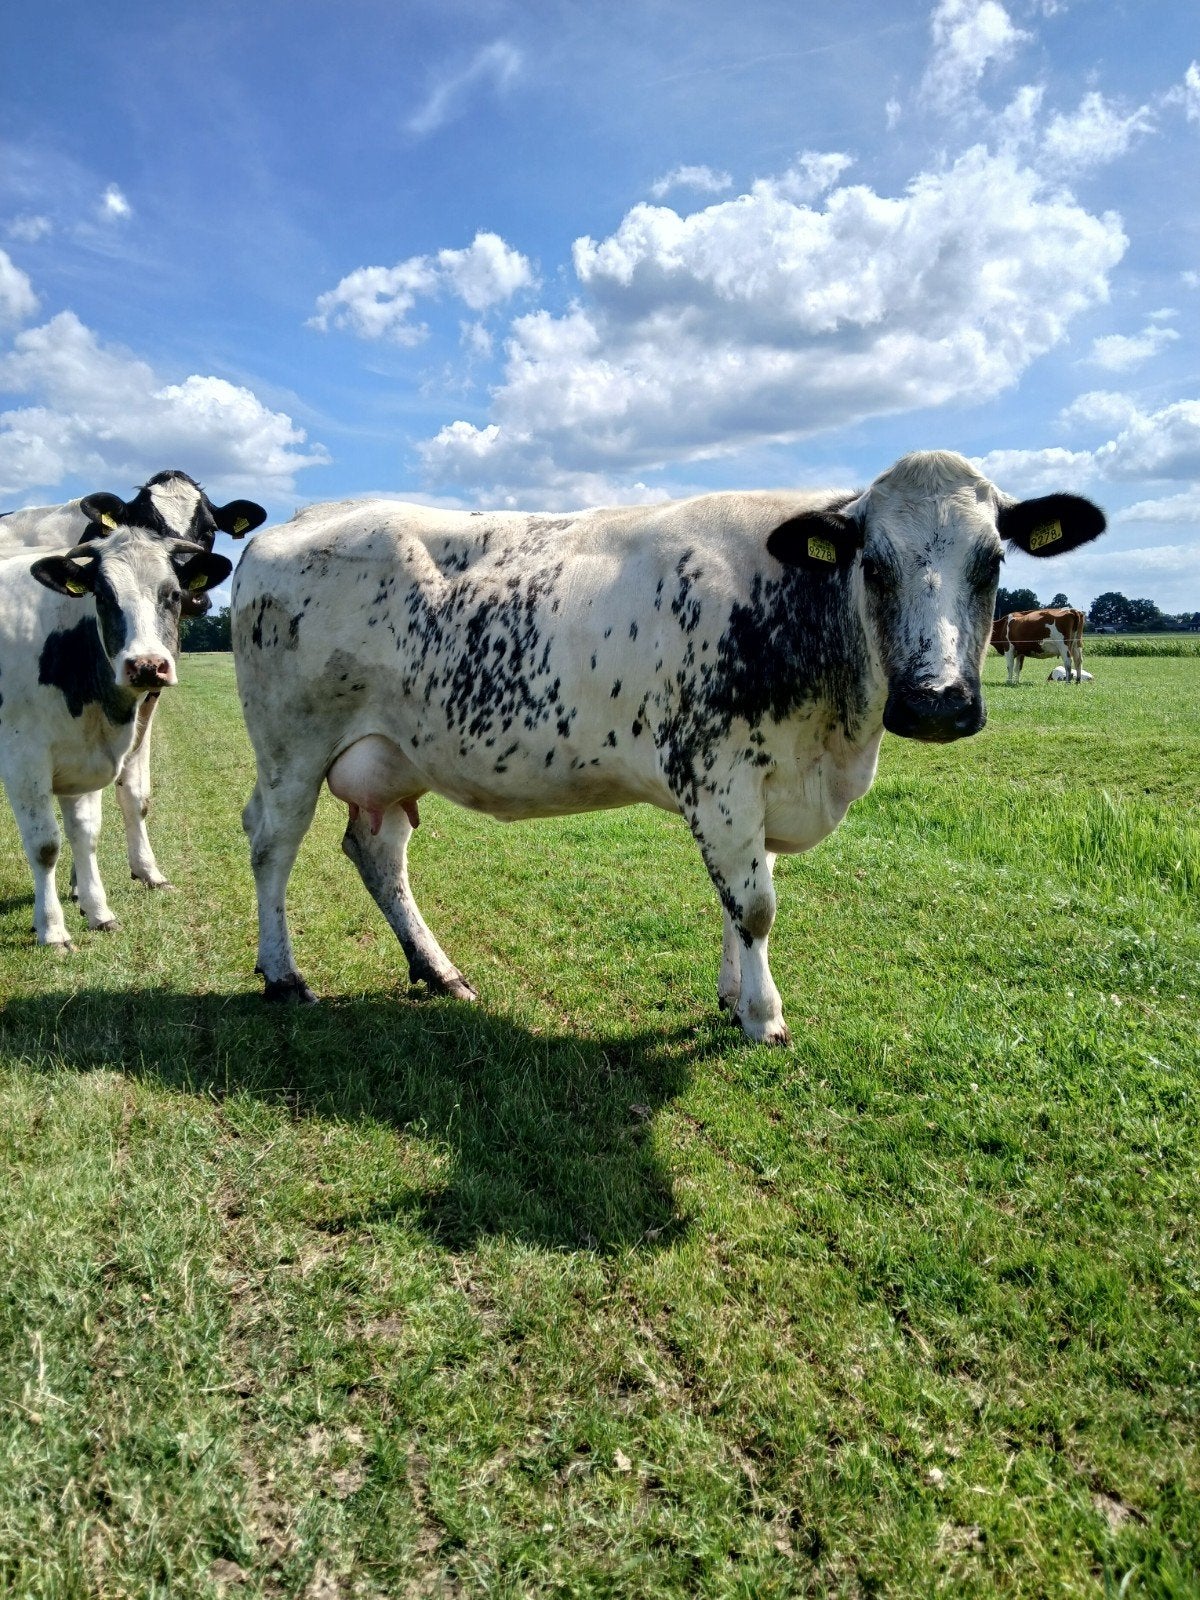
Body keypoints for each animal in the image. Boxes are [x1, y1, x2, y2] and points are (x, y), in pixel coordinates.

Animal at [0, 471, 265, 889]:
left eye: (209, 529)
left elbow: (133, 794)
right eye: (146, 523)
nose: (192, 597)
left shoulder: (142, 708)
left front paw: (145, 869)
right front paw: (80, 883)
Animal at [0, 526, 230, 947]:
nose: (147, 665)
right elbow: (45, 845)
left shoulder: (82, 757)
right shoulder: (23, 759)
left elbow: (86, 835)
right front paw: (52, 930)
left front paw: (98, 912)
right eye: (105, 596)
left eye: (172, 594)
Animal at [231, 451, 1105, 1044]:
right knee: (272, 842)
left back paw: (438, 970)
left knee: (378, 852)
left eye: (992, 561)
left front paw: (730, 994)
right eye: (874, 564)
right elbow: (755, 905)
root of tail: (305, 519)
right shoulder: (718, 775)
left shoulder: (758, 787)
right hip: (289, 746)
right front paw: (763, 1016)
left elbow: (736, 896)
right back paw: (284, 975)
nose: (935, 701)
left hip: (389, 754)